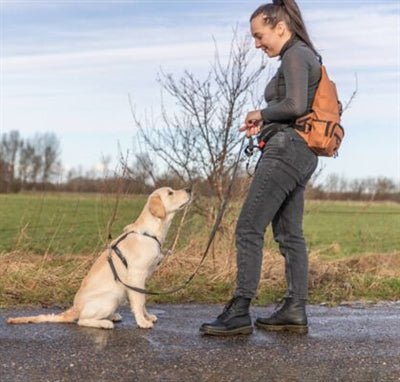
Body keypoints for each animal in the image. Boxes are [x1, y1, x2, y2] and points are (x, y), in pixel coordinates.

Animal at [7, 187, 192, 330]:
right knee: (82, 321)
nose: (189, 189)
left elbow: (143, 301)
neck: (150, 232)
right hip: (112, 296)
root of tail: (74, 308)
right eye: (170, 192)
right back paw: (105, 323)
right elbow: (139, 301)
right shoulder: (136, 276)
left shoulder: (142, 279)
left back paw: (112, 316)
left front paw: (147, 316)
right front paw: (142, 322)